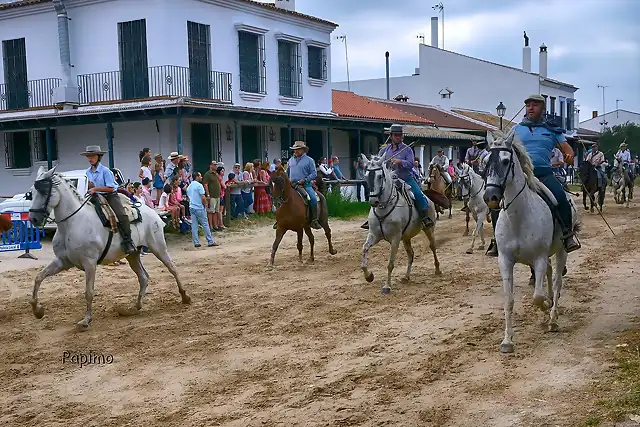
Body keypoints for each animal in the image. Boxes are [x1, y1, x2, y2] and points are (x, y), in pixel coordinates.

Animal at [26, 167, 190, 332]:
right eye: (31, 193)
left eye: (44, 192)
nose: (33, 219)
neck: (73, 223)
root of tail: (152, 212)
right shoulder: (63, 262)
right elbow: (39, 277)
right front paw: (37, 310)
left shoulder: (89, 263)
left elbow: (89, 292)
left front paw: (85, 320)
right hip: (133, 255)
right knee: (143, 277)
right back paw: (134, 307)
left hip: (158, 247)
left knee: (172, 268)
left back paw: (185, 297)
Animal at [360, 155, 440, 296]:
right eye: (366, 176)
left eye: (380, 176)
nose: (373, 201)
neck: (384, 208)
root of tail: (427, 198)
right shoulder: (374, 235)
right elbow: (364, 251)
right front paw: (369, 276)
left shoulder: (395, 239)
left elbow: (390, 263)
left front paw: (387, 286)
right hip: (406, 238)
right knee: (411, 254)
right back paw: (406, 277)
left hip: (429, 229)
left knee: (433, 246)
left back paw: (437, 269)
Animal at [482, 130, 584, 354]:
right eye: (484, 161)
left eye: (505, 161)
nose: (490, 196)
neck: (519, 217)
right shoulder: (505, 261)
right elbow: (509, 300)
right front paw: (507, 341)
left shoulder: (538, 258)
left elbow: (537, 296)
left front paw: (546, 307)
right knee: (549, 273)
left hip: (561, 251)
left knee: (556, 280)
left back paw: (552, 318)